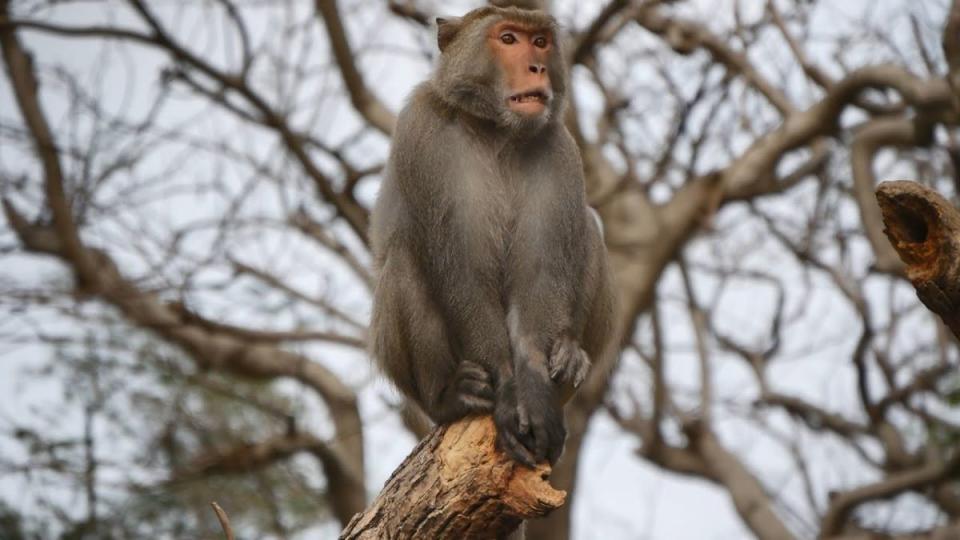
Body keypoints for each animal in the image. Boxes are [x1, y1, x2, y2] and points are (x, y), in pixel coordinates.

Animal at [368, 2, 616, 468]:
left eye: (540, 41)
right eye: (508, 39)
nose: (537, 66)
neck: (495, 129)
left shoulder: (558, 146)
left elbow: (539, 273)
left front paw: (533, 390)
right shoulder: (424, 133)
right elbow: (462, 271)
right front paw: (507, 392)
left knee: (588, 227)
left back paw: (570, 354)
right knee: (405, 260)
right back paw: (450, 397)